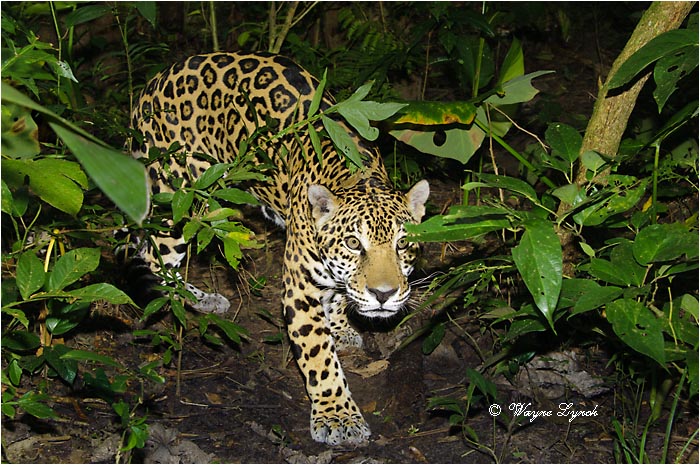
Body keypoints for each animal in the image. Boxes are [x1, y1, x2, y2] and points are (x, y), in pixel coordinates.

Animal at [129, 51, 430, 446]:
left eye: (403, 244)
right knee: (154, 256)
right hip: (184, 196)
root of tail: (153, 82)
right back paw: (196, 301)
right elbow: (319, 356)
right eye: (353, 243)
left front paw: (341, 327)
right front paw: (338, 417)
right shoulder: (299, 290)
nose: (384, 294)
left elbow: (338, 297)